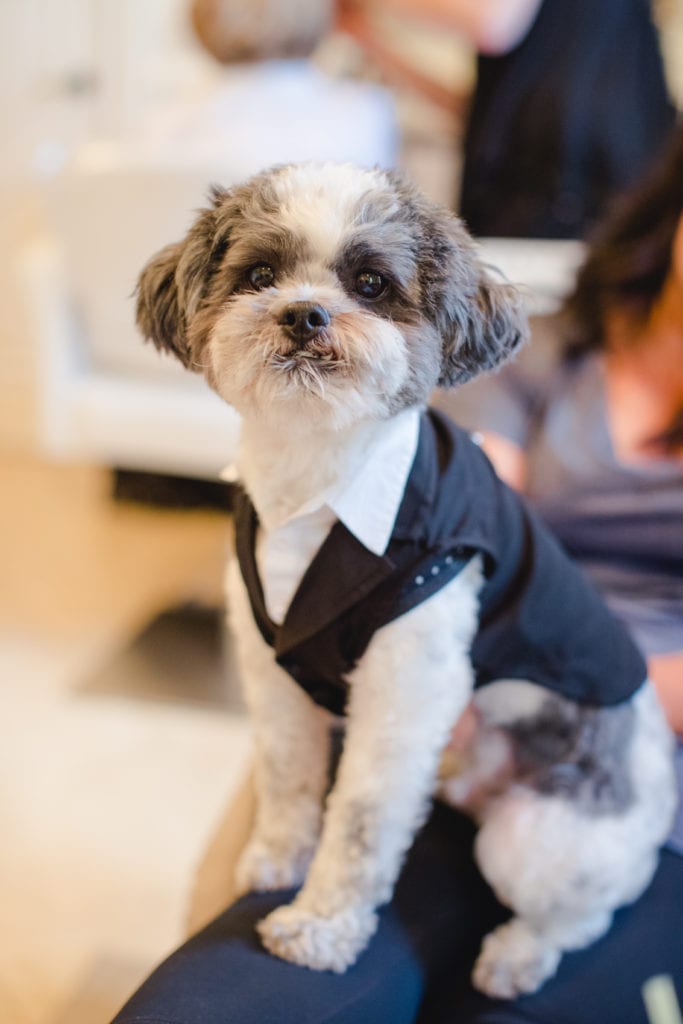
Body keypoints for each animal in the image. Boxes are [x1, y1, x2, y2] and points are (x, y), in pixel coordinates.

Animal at [136, 161, 675, 999]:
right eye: (258, 276)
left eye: (370, 284)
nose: (304, 315)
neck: (317, 479)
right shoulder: (270, 669)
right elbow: (286, 772)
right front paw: (277, 857)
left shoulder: (403, 691)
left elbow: (359, 822)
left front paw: (319, 928)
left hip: (539, 836)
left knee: (582, 912)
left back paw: (518, 954)